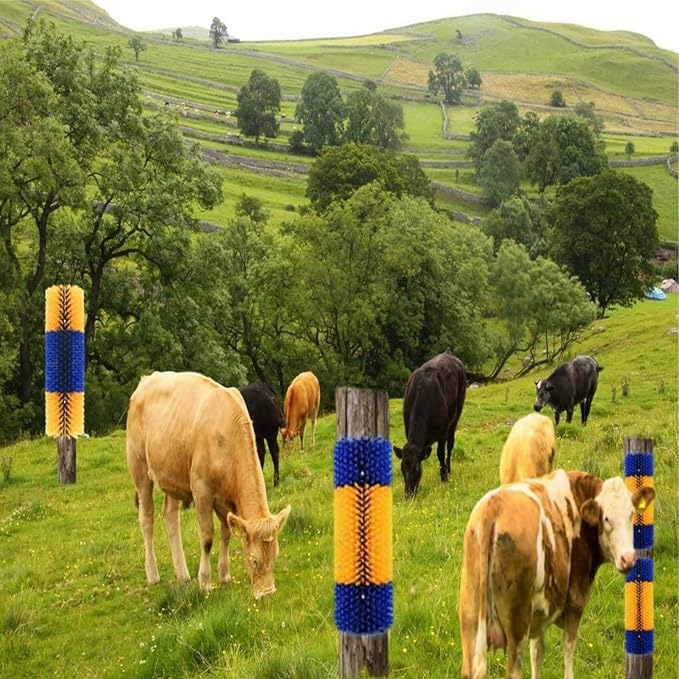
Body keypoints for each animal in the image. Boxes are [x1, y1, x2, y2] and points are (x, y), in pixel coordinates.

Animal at [126, 371, 291, 599]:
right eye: (254, 560)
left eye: (275, 556)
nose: (267, 593)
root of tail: (146, 380)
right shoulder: (202, 491)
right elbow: (207, 537)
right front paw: (205, 582)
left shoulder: (223, 499)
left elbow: (227, 533)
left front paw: (224, 574)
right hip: (140, 469)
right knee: (147, 520)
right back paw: (153, 573)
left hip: (173, 475)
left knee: (170, 516)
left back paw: (183, 573)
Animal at [393, 350, 466, 498]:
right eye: (402, 469)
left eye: (417, 470)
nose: (409, 495)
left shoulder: (442, 432)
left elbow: (440, 453)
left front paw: (443, 477)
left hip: (456, 414)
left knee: (450, 444)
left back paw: (449, 470)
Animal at [458, 469, 655, 679]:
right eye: (606, 518)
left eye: (631, 514)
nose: (628, 558)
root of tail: (494, 506)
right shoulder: (575, 601)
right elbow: (568, 649)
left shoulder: (539, 612)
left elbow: (537, 652)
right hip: (517, 627)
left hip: (470, 622)